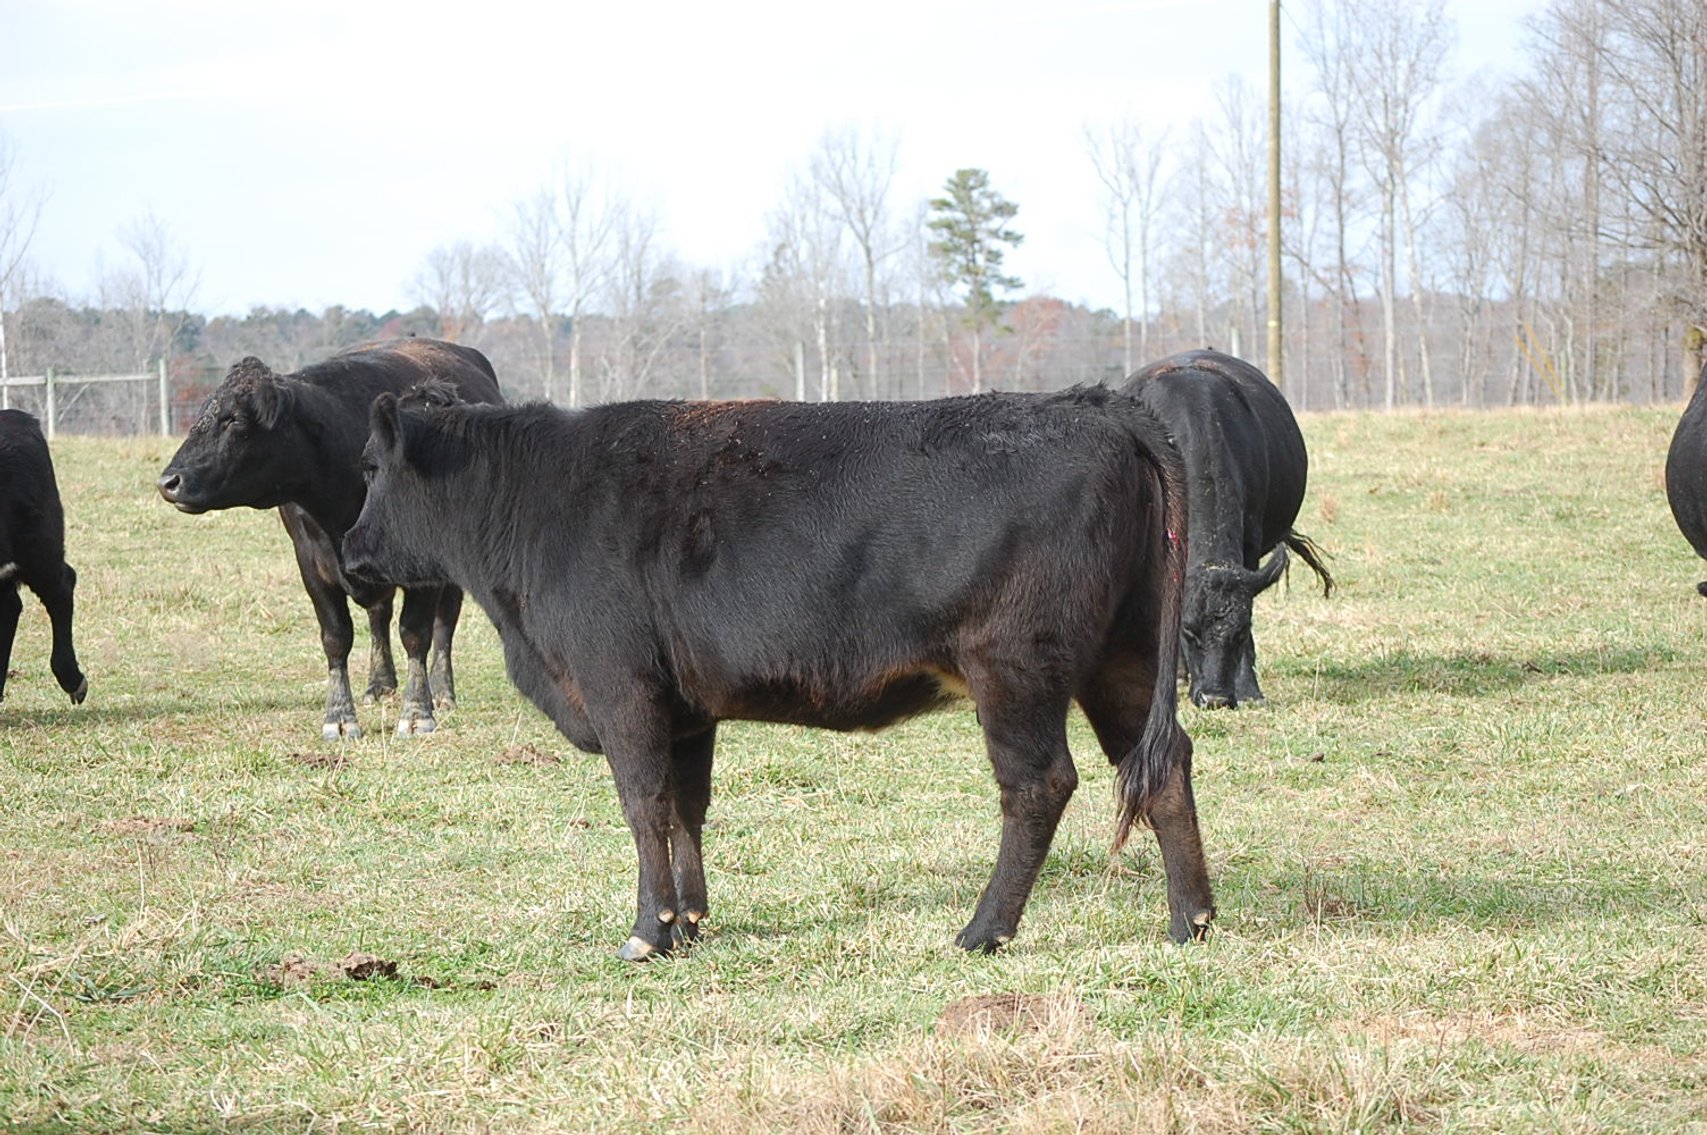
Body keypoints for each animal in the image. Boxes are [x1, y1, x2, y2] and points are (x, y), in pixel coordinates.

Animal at [157, 339, 502, 740]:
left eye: (235, 419)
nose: (169, 481)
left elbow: (416, 633)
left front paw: (418, 712)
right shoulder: (310, 562)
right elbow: (336, 637)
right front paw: (339, 716)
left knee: (445, 622)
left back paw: (443, 691)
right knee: (379, 616)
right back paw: (380, 684)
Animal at [342, 387, 1217, 960]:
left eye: (370, 468)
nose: (349, 555)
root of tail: (1092, 403)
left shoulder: (619, 687)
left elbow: (643, 805)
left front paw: (646, 932)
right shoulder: (685, 708)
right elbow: (685, 809)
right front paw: (689, 922)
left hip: (1014, 666)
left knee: (1038, 784)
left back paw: (982, 930)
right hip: (1123, 655)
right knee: (1163, 765)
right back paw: (1191, 921)